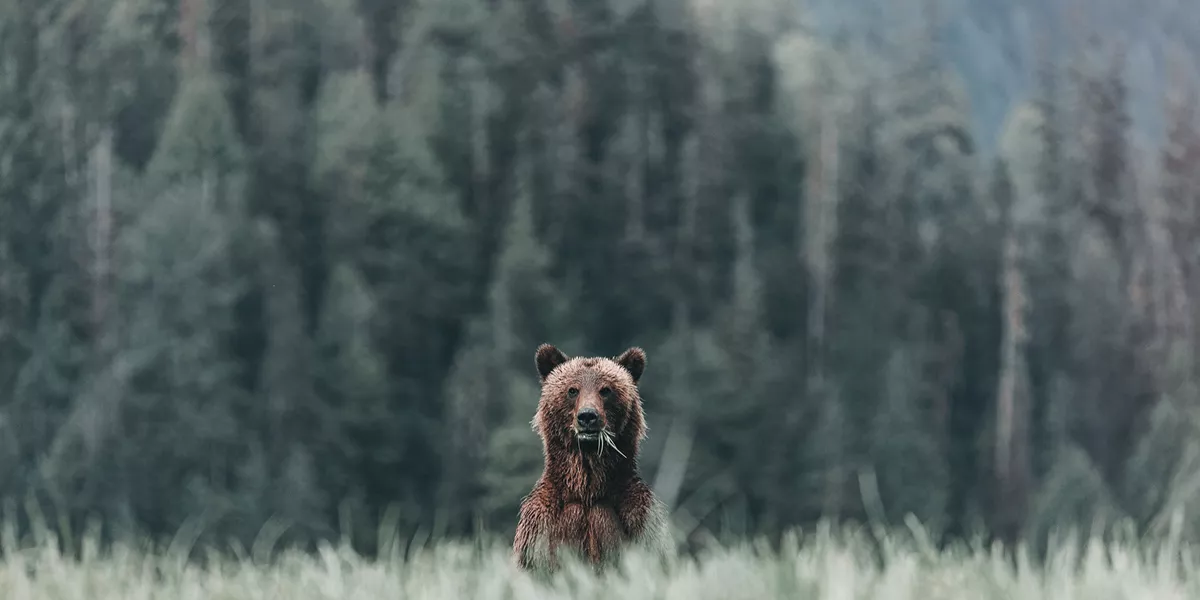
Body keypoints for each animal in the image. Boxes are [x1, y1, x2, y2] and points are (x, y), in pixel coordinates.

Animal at [512, 343, 671, 573]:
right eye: (572, 390)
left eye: (606, 390)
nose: (588, 416)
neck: (588, 487)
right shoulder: (538, 526)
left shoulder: (641, 518)